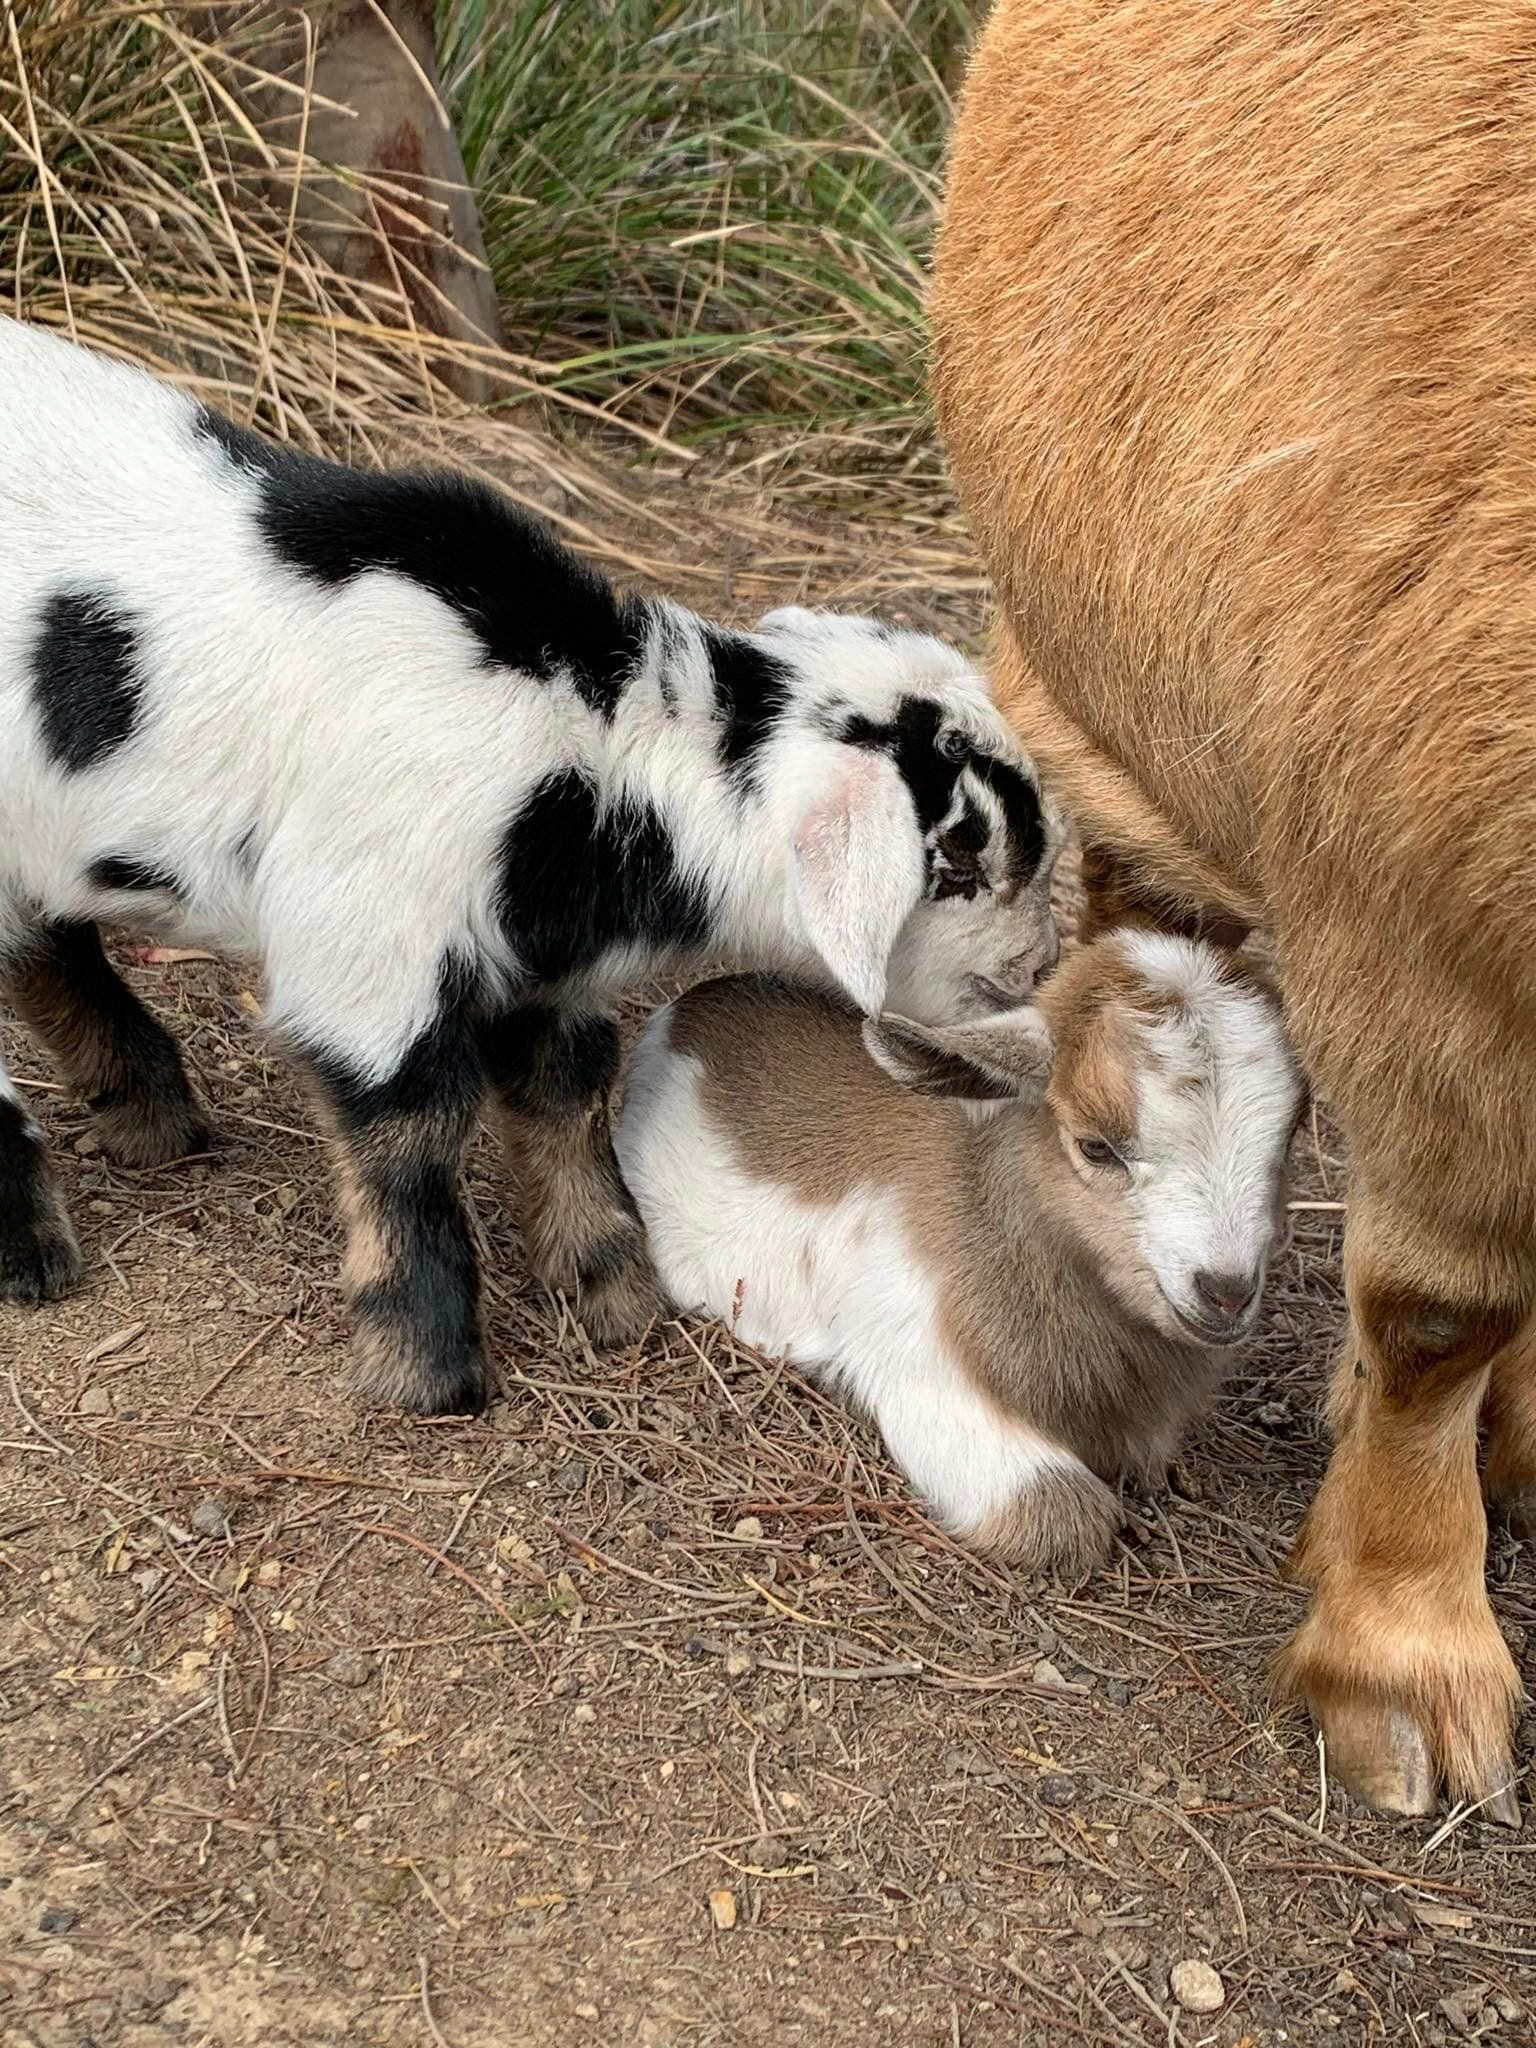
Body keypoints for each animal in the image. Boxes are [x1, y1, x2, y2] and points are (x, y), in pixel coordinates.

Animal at [0, 315, 1061, 1416]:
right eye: (967, 862)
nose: (1041, 962)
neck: (583, 747)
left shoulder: (542, 960)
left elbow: (568, 1089)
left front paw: (612, 1290)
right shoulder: (367, 951)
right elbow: (412, 1136)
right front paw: (426, 1372)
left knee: (42, 942)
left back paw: (148, 1119)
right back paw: (37, 1253)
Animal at [614, 931, 1303, 1574]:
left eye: (1291, 1134)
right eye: (1096, 1147)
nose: (1226, 1290)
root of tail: (688, 1006)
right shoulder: (919, 1369)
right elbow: (1064, 1515)